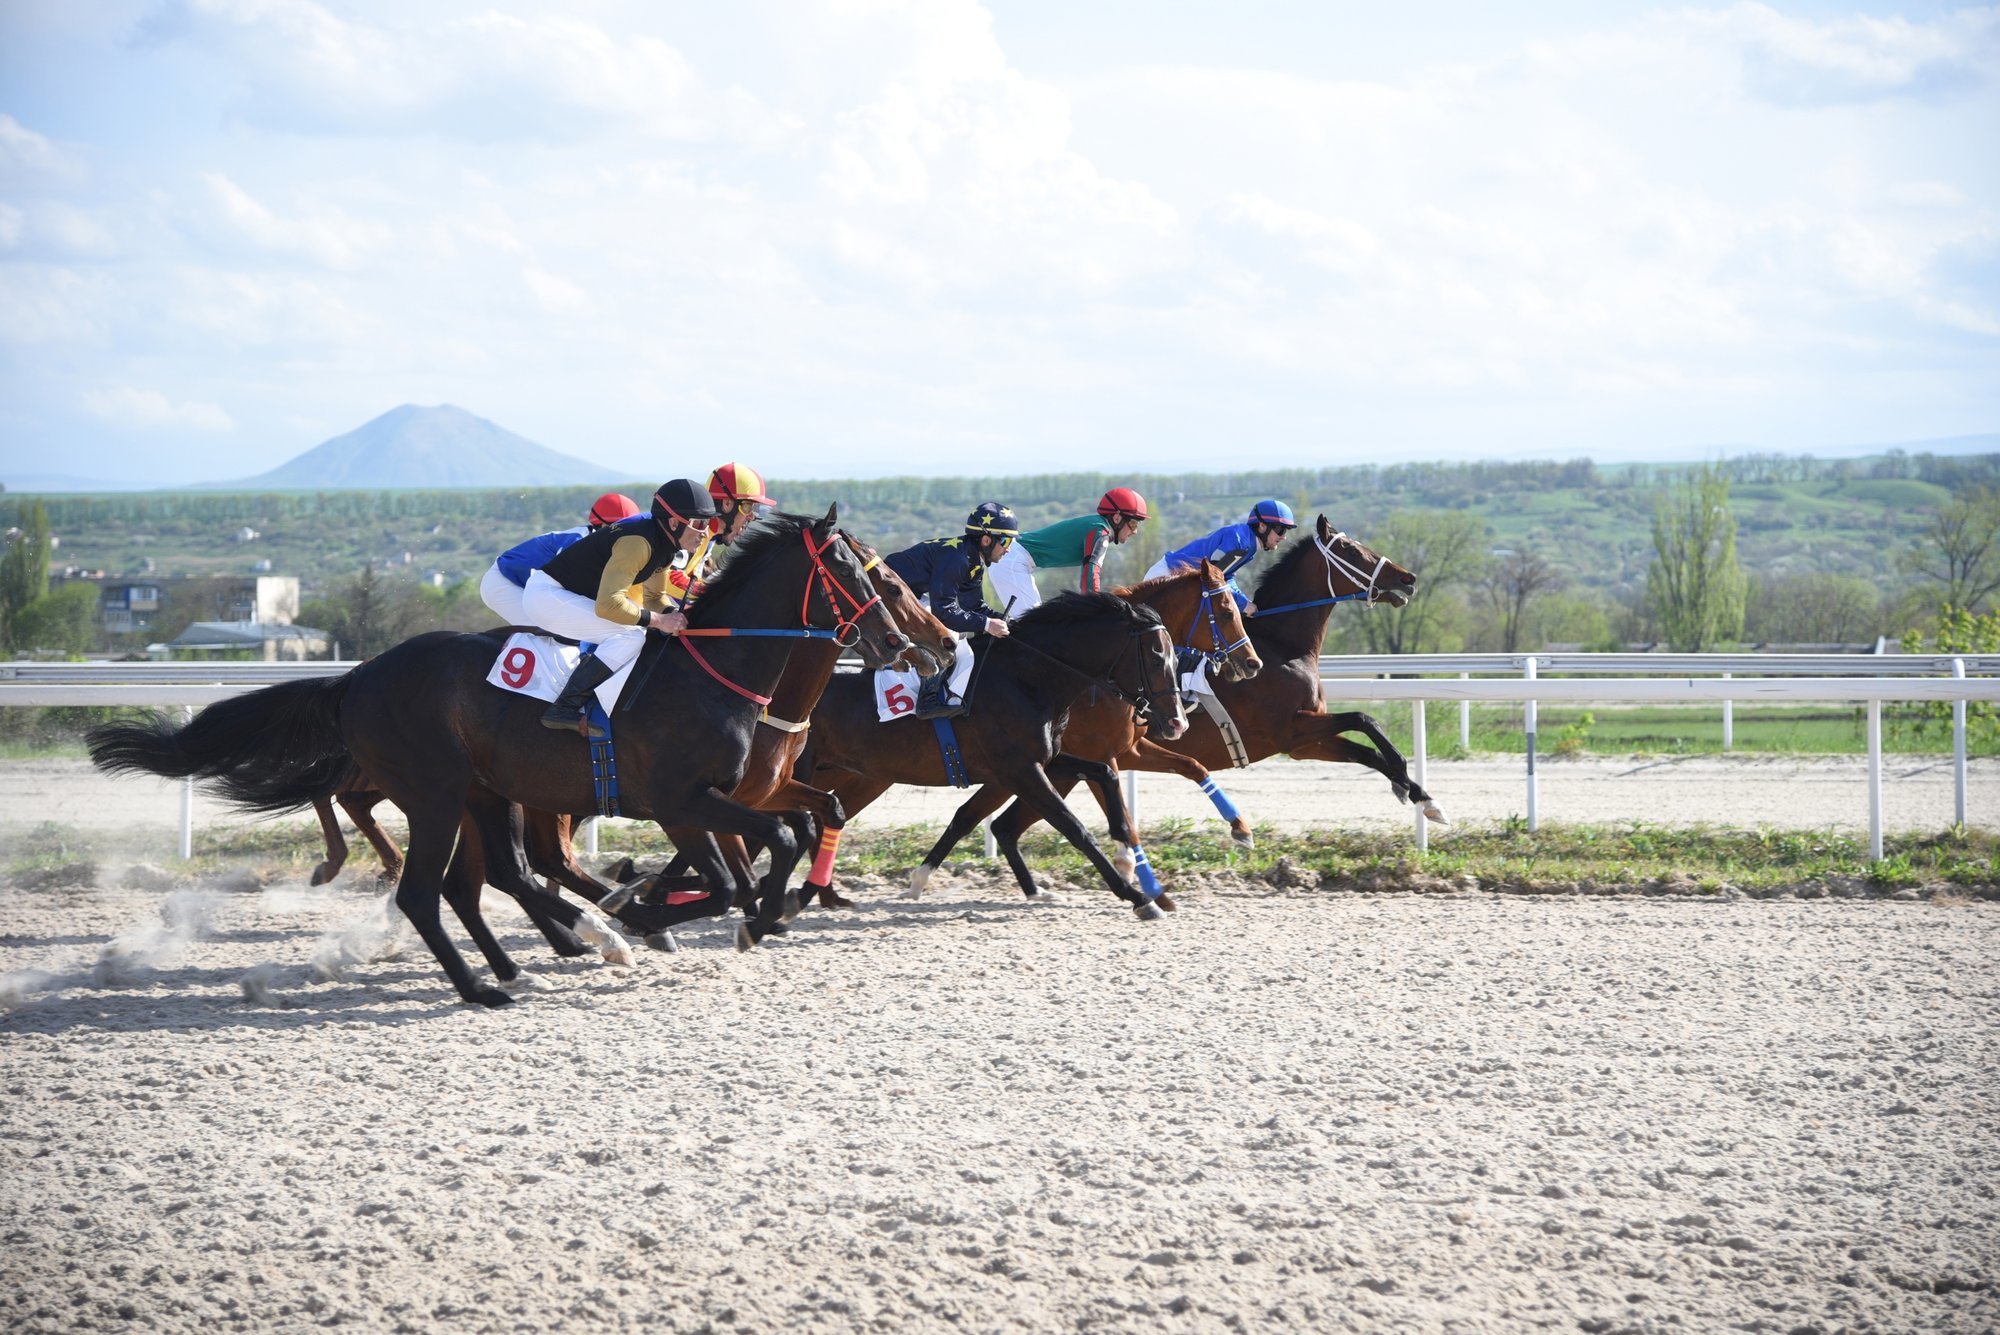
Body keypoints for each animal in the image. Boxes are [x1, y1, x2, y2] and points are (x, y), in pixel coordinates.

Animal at [90, 507, 904, 999]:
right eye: (857, 572)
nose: (897, 643)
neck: (711, 671)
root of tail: (358, 676)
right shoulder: (679, 800)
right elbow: (746, 864)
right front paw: (650, 913)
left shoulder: (705, 801)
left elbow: (757, 855)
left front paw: (691, 914)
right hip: (439, 792)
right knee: (432, 888)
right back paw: (496, 981)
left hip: (484, 791)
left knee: (479, 880)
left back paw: (527, 960)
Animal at [788, 595, 1184, 919]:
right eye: (1155, 657)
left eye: (1174, 656)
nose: (1177, 722)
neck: (1028, 679)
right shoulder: (1021, 770)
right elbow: (1075, 828)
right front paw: (1137, 896)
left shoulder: (1044, 760)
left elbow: (1106, 773)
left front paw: (1126, 856)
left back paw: (825, 894)